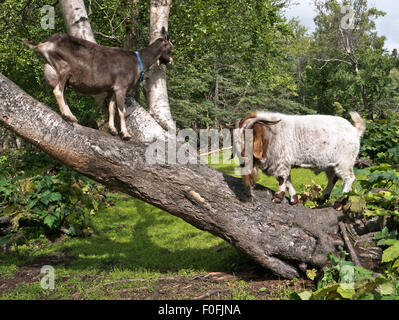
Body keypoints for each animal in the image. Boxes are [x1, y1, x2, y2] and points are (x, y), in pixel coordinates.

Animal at [233, 110, 368, 205]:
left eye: (249, 138)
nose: (242, 161)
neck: (272, 134)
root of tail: (355, 131)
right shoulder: (284, 163)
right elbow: (288, 180)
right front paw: (294, 199)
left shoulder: (282, 162)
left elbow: (282, 179)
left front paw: (278, 197)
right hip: (331, 165)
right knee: (333, 179)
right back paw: (322, 199)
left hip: (345, 162)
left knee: (349, 178)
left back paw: (339, 201)